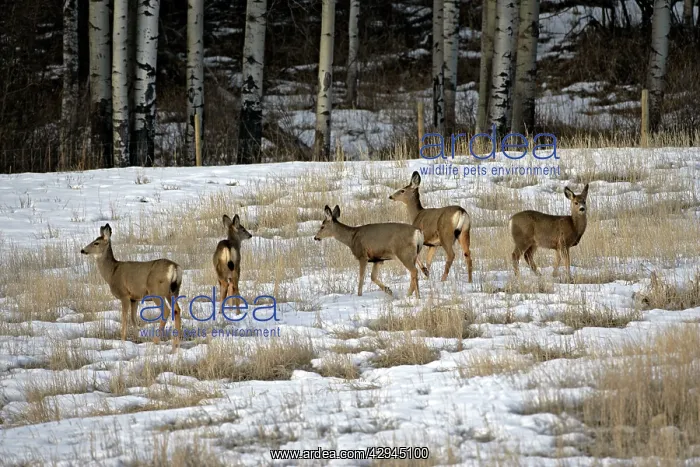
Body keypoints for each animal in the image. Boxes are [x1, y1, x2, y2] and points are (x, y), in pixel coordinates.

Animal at [80, 223, 184, 353]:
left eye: (96, 243)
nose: (82, 250)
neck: (112, 272)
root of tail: (174, 267)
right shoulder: (135, 298)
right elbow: (133, 319)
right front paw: (138, 339)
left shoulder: (124, 294)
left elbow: (124, 318)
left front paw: (123, 340)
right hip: (174, 291)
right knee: (177, 310)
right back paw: (176, 345)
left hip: (156, 291)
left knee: (166, 310)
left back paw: (156, 341)